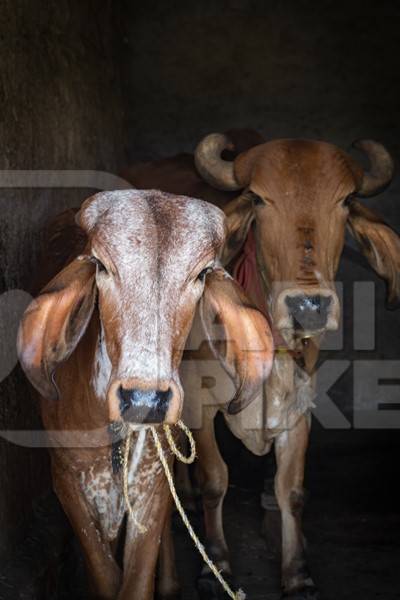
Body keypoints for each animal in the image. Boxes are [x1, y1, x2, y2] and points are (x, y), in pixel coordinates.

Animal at [18, 189, 276, 600]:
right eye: (102, 266)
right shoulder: (68, 481)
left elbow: (137, 577)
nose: (144, 400)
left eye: (201, 273)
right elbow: (105, 575)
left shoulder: (152, 484)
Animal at [125, 134, 400, 596]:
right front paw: (216, 565)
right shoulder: (199, 401)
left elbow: (291, 490)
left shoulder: (300, 407)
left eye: (345, 200)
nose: (309, 306)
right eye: (258, 198)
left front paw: (297, 571)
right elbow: (215, 480)